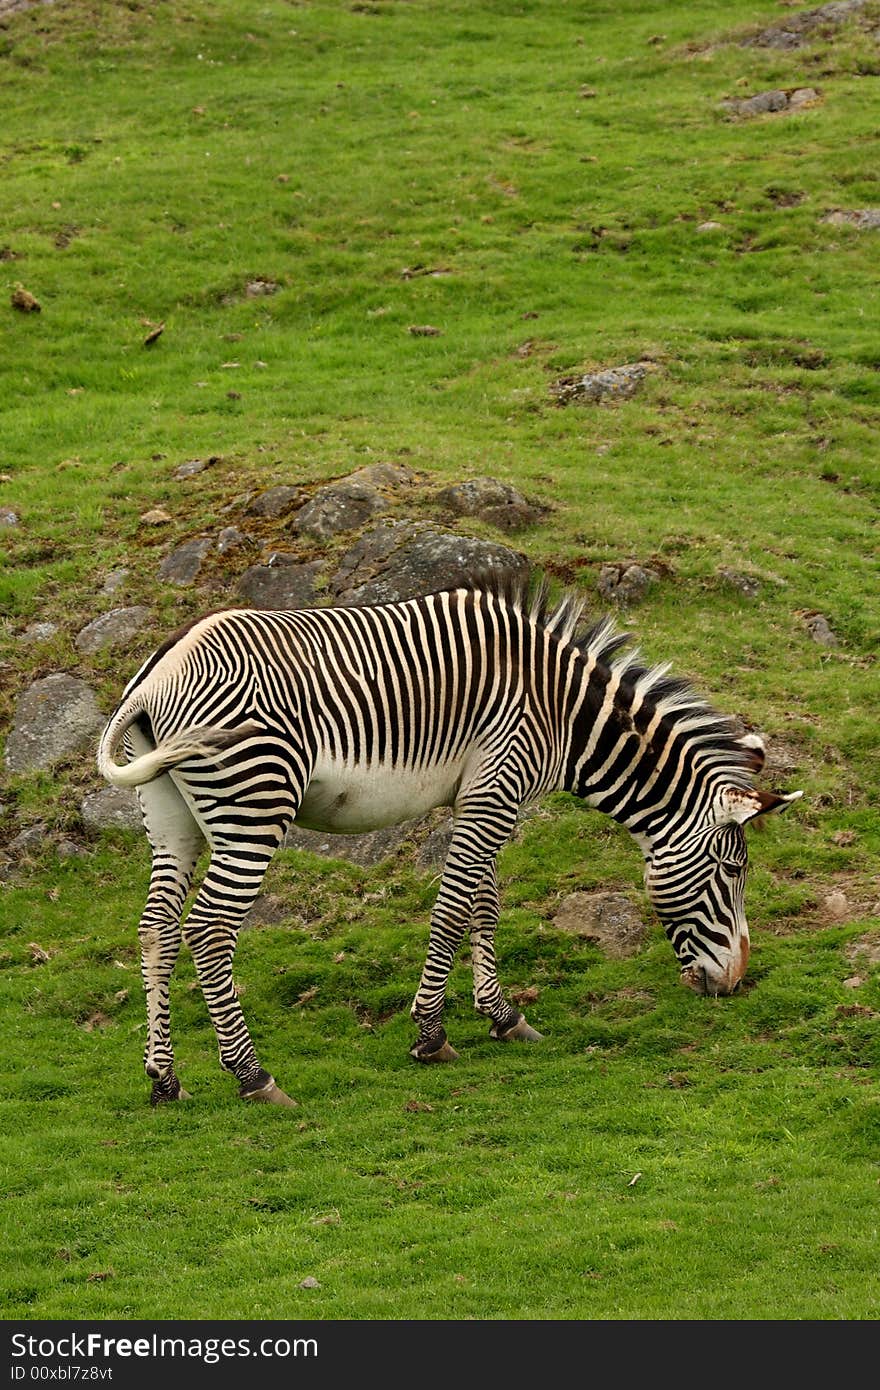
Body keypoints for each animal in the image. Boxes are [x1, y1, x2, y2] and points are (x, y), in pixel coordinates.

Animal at [94, 572, 795, 1106]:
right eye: (733, 871)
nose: (734, 982)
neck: (563, 710)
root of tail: (157, 676)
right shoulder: (498, 785)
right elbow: (456, 906)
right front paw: (430, 1034)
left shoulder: (481, 793)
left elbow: (485, 902)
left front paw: (503, 1017)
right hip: (254, 802)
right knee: (208, 929)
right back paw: (253, 1076)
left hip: (170, 814)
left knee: (156, 928)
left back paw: (164, 1080)